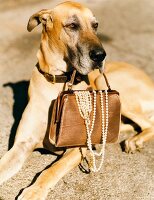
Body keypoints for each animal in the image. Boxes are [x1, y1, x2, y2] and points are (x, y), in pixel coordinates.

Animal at [0, 1, 154, 200]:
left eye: (95, 25)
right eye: (72, 25)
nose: (101, 55)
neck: (58, 81)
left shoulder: (76, 148)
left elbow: (51, 170)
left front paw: (33, 191)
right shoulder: (21, 145)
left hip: (103, 82)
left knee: (149, 124)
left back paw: (135, 141)